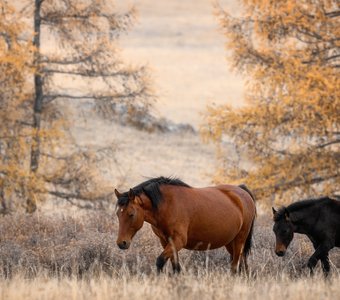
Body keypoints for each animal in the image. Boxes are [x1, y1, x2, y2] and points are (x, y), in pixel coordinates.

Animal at [114, 176, 255, 274]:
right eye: (118, 214)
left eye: (131, 214)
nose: (122, 243)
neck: (167, 204)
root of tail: (242, 191)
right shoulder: (166, 242)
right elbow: (176, 267)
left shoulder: (178, 241)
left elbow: (160, 261)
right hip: (230, 243)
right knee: (242, 264)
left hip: (239, 240)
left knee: (235, 266)